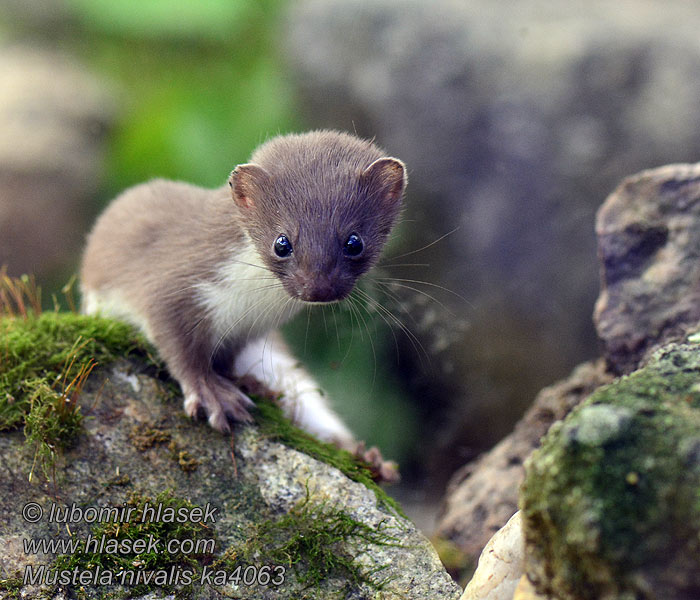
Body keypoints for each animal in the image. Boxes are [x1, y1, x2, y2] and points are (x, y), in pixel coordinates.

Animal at [78, 132, 404, 478]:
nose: (318, 288)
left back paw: (369, 458)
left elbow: (230, 359)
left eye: (354, 242)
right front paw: (213, 394)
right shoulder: (173, 286)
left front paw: (245, 383)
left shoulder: (251, 331)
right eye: (282, 242)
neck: (247, 306)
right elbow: (179, 347)